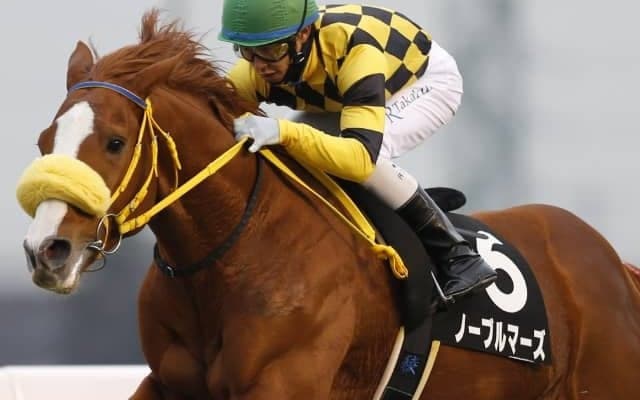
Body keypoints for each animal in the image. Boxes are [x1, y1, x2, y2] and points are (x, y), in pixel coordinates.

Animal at [17, 10, 640, 399]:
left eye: (115, 142)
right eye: (45, 142)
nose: (47, 250)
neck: (231, 255)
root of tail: (612, 263)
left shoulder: (282, 384)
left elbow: (364, 150)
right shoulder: (167, 383)